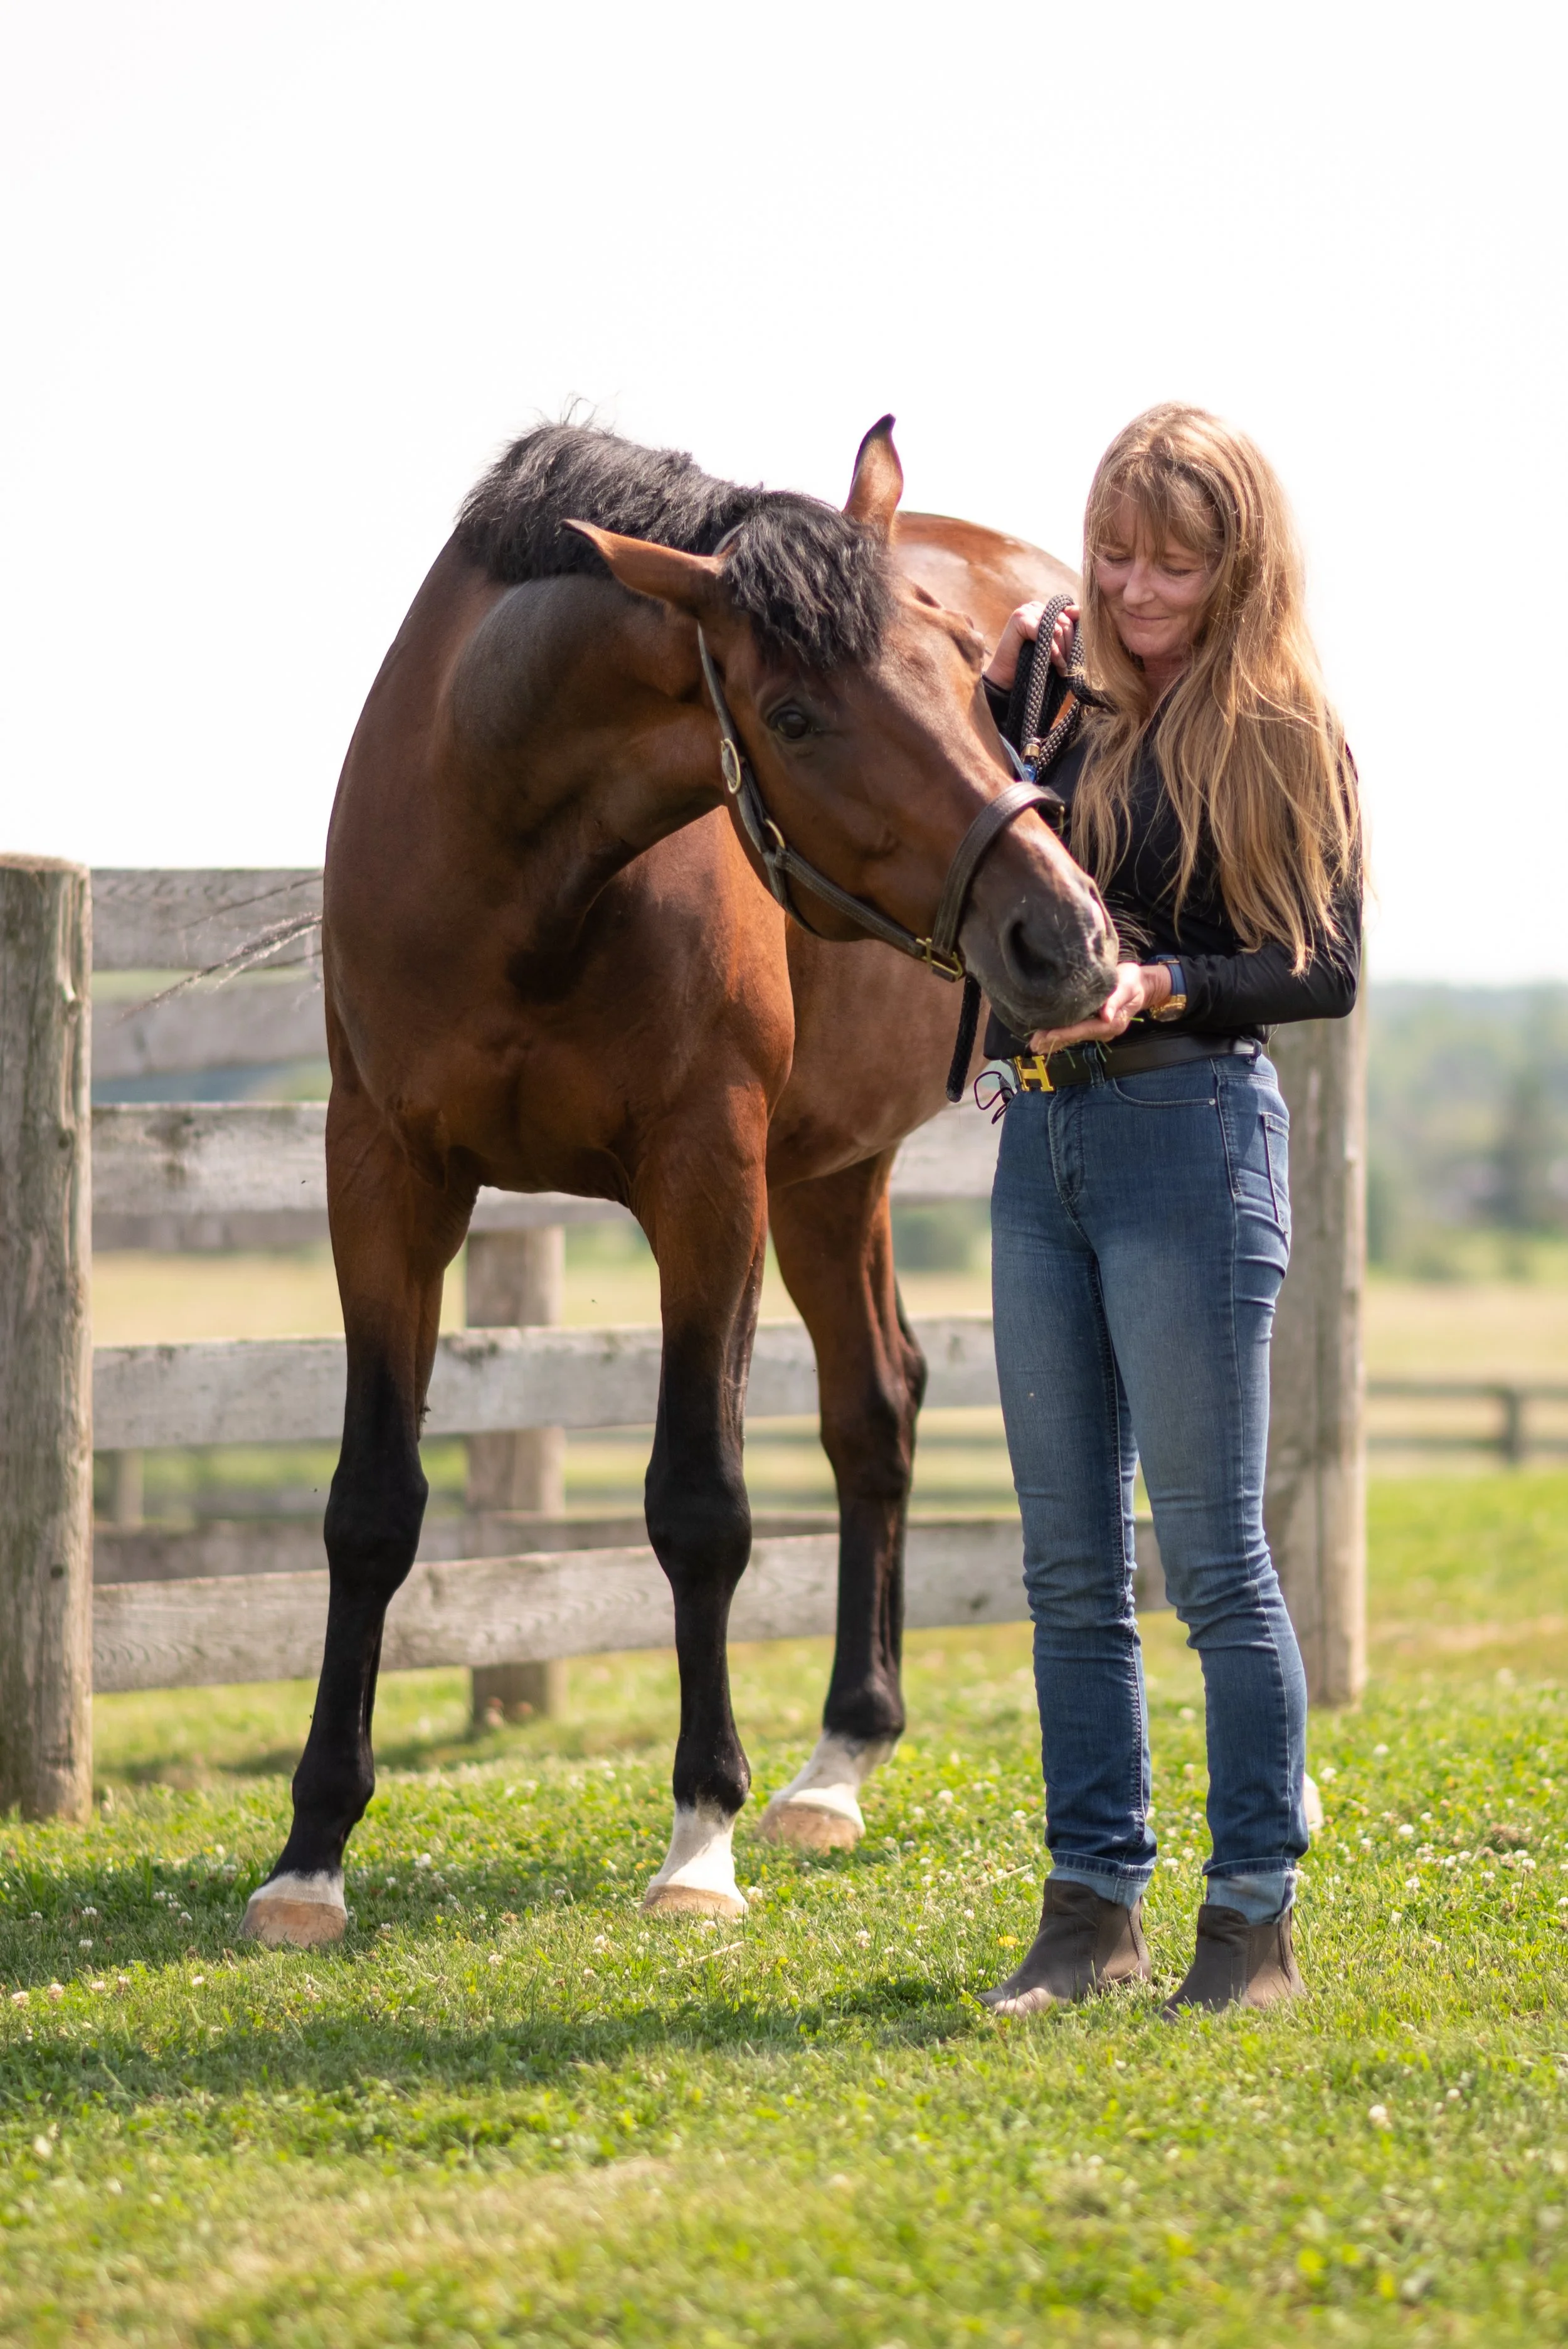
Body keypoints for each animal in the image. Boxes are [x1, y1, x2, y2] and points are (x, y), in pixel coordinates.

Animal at [241, 417, 1113, 1947]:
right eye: (798, 716)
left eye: (966, 666)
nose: (1060, 934)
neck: (508, 859)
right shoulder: (383, 1180)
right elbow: (369, 1507)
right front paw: (311, 1853)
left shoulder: (709, 1181)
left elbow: (699, 1503)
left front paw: (700, 1836)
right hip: (833, 1174)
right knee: (877, 1411)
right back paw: (839, 1760)